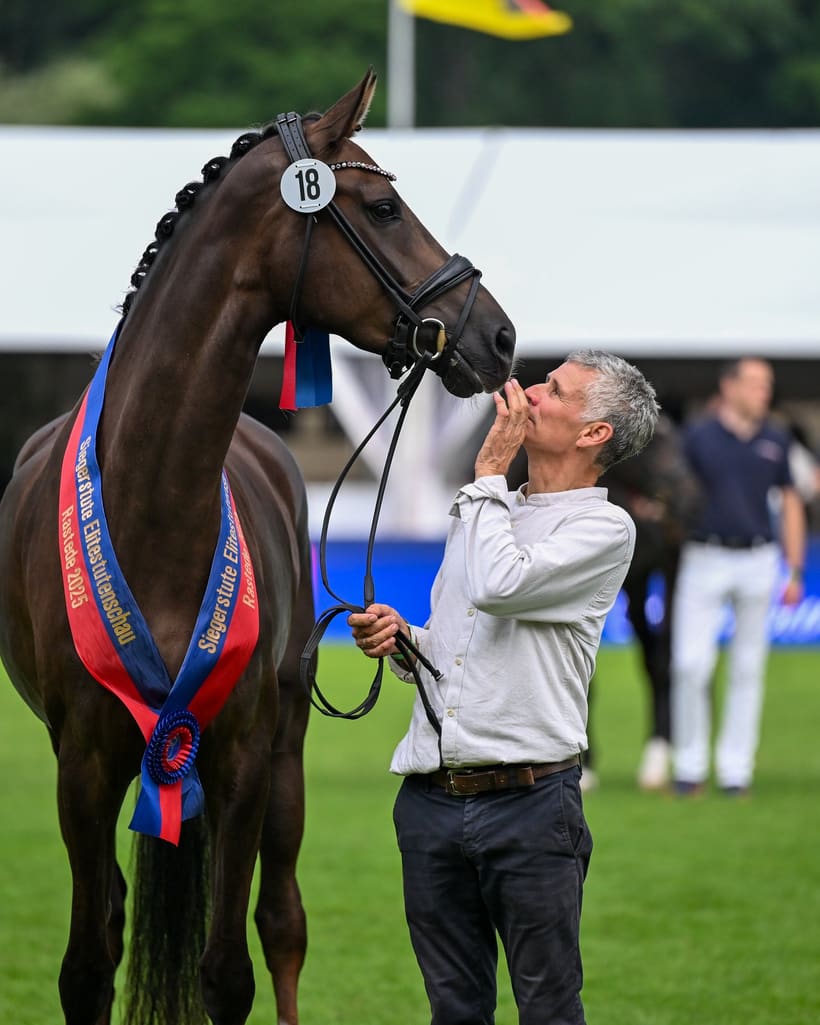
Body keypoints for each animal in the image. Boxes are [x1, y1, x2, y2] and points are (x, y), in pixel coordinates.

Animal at [0, 69, 515, 1025]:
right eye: (383, 207)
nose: (495, 335)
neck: (154, 506)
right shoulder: (80, 770)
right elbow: (88, 965)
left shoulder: (239, 760)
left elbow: (228, 970)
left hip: (285, 756)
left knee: (282, 923)